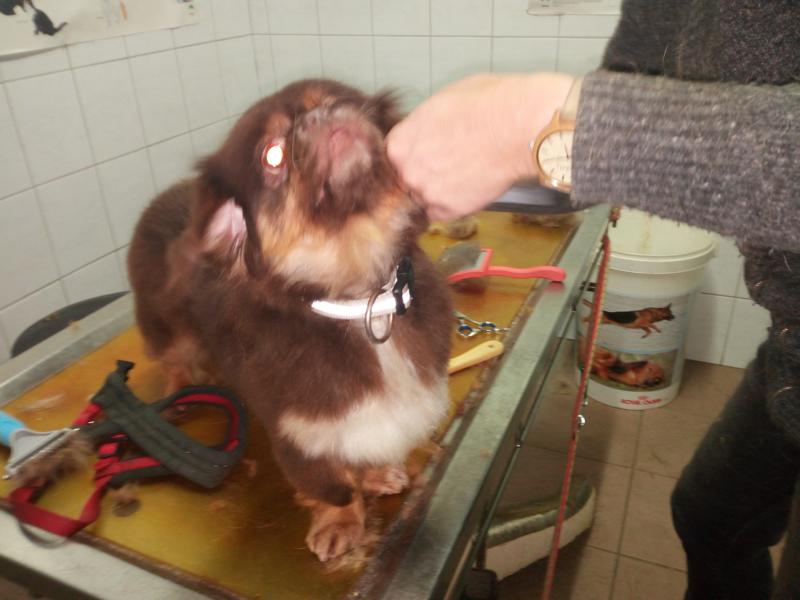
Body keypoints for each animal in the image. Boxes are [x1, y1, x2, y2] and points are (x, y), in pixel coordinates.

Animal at [127, 80, 452, 562]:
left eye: (339, 101)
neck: (360, 296)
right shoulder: (300, 434)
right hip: (169, 331)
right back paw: (180, 390)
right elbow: (332, 484)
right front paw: (339, 522)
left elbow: (367, 448)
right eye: (273, 156)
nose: (322, 117)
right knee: (174, 357)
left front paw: (376, 475)